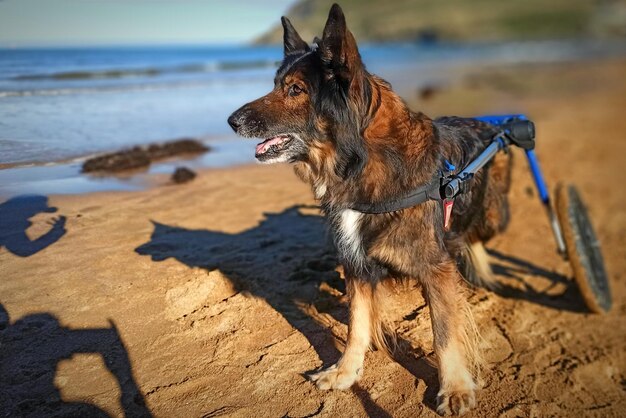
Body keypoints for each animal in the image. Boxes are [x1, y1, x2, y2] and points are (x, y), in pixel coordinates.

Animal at [227, 3, 510, 414]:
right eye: (277, 84)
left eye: (295, 89)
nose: (231, 122)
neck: (359, 163)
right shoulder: (356, 264)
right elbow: (356, 325)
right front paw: (346, 371)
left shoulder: (434, 269)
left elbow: (443, 333)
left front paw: (455, 386)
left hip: (494, 217)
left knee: (477, 237)